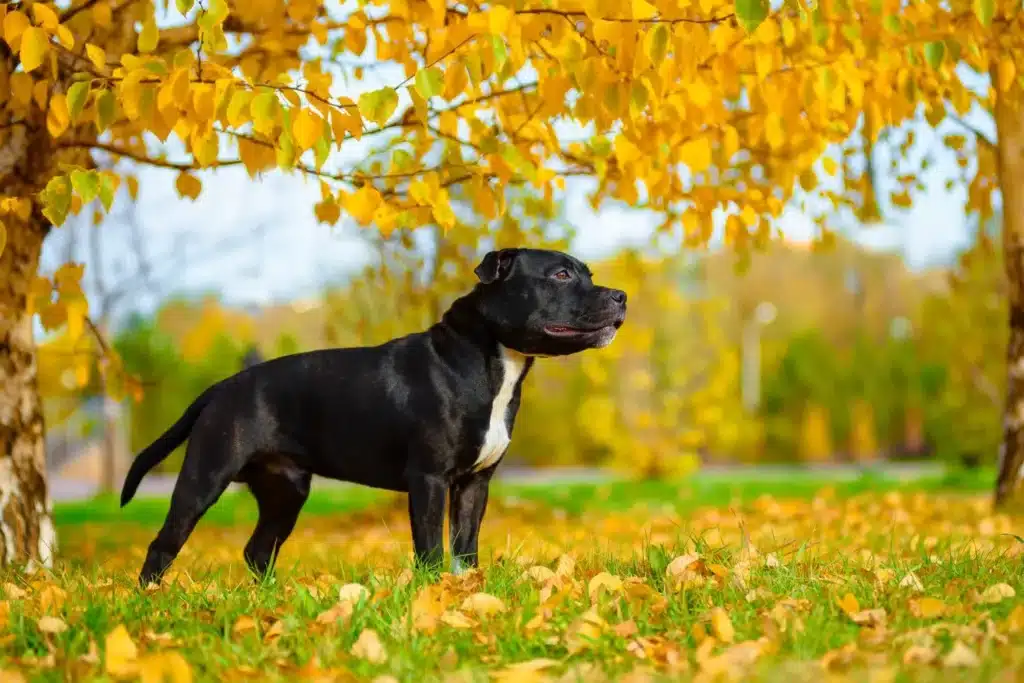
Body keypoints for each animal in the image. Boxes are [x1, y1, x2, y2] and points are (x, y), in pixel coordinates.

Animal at [123, 248, 626, 585]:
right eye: (560, 274)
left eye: (588, 274)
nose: (620, 295)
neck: (491, 360)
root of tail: (220, 388)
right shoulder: (429, 480)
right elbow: (431, 550)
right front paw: (434, 598)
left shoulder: (473, 484)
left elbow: (465, 549)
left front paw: (467, 597)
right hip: (204, 478)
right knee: (164, 543)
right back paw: (153, 602)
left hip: (287, 491)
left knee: (258, 550)